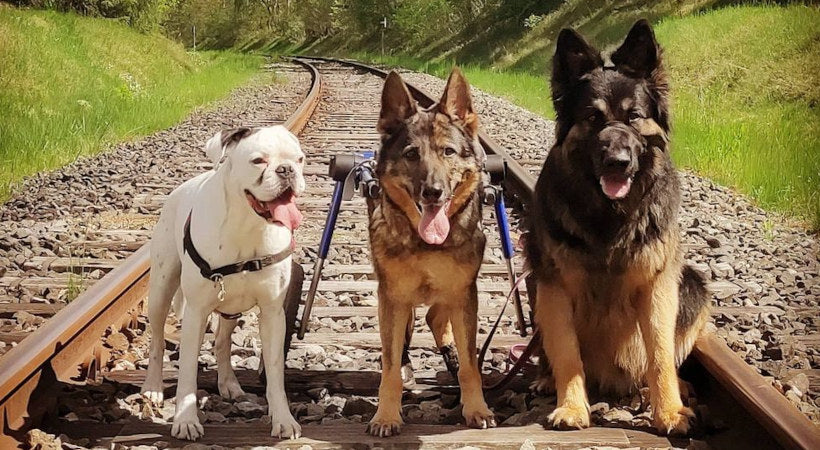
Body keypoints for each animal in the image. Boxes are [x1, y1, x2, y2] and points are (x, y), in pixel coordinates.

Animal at [141, 125, 308, 440]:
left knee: (222, 341)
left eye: (300, 159)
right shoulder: (195, 313)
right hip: (160, 291)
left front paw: (282, 418)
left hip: (231, 307)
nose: (286, 170)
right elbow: (187, 373)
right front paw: (185, 420)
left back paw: (229, 383)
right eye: (258, 161)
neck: (247, 225)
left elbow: (275, 372)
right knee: (156, 342)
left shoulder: (273, 315)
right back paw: (152, 388)